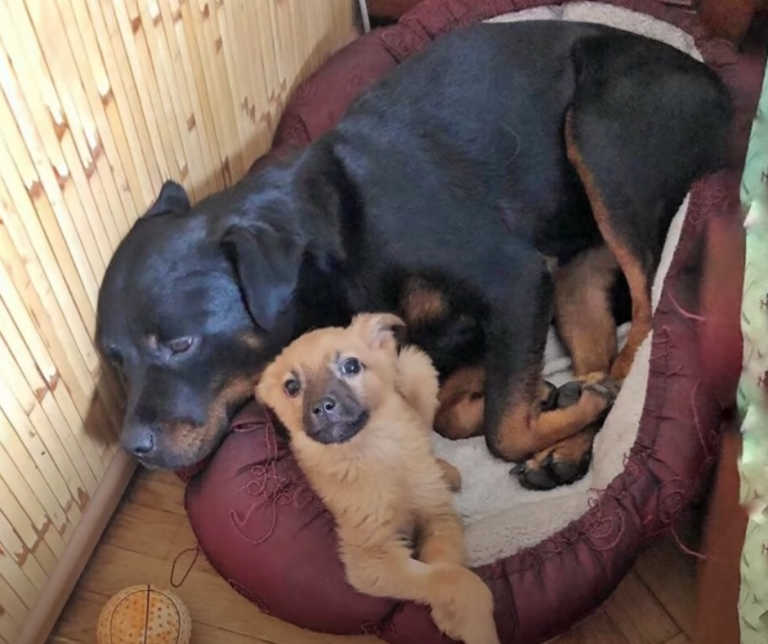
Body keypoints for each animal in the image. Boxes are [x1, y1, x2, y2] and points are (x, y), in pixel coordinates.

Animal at [97, 22, 732, 490]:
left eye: (181, 344)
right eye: (116, 360)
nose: (135, 447)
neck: (333, 238)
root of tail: (724, 89)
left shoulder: (515, 281)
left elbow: (502, 429)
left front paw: (546, 408)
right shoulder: (473, 327)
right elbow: (456, 412)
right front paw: (545, 400)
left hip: (603, 140)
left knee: (646, 320)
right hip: (577, 271)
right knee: (602, 343)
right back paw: (572, 438)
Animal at [256, 314, 498, 644]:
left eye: (351, 366)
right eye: (291, 386)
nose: (322, 407)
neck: (374, 451)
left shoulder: (439, 515)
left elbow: (446, 561)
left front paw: (452, 615)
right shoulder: (373, 558)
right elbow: (454, 578)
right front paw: (470, 620)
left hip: (415, 365)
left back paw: (445, 470)